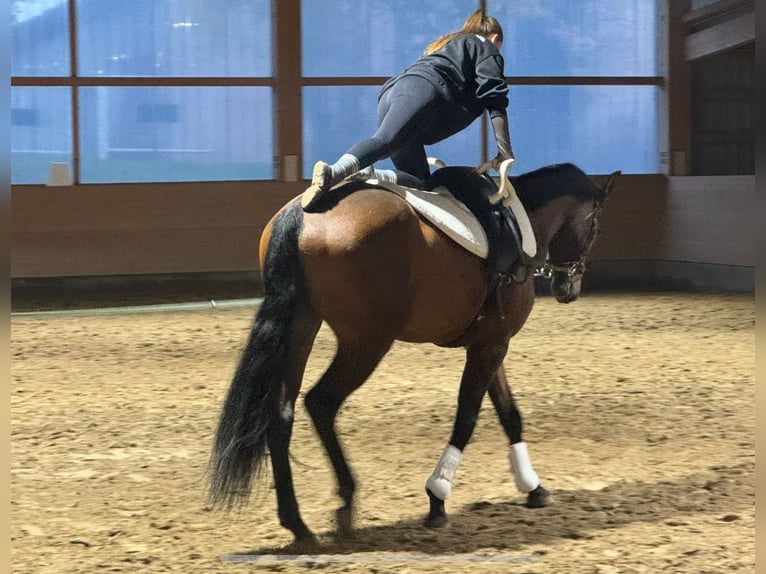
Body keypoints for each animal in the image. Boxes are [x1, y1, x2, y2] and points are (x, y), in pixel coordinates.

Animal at [207, 162, 619, 547]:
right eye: (596, 224)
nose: (569, 287)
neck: (521, 221)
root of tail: (303, 214)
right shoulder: (491, 345)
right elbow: (467, 418)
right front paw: (437, 497)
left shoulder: (490, 341)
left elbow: (509, 414)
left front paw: (533, 487)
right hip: (367, 341)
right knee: (321, 402)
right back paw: (345, 501)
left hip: (302, 325)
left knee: (282, 414)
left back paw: (298, 524)